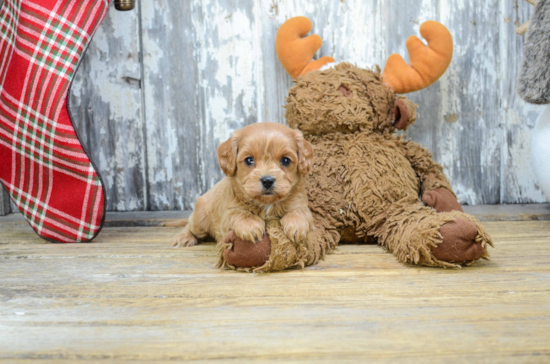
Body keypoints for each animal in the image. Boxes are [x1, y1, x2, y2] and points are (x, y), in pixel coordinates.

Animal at [168, 122, 314, 247]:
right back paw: (184, 237)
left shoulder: (301, 204)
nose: (267, 180)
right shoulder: (228, 213)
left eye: (285, 160)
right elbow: (239, 214)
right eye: (249, 160)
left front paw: (296, 224)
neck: (266, 204)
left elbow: (300, 212)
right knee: (190, 226)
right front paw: (251, 226)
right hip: (200, 219)